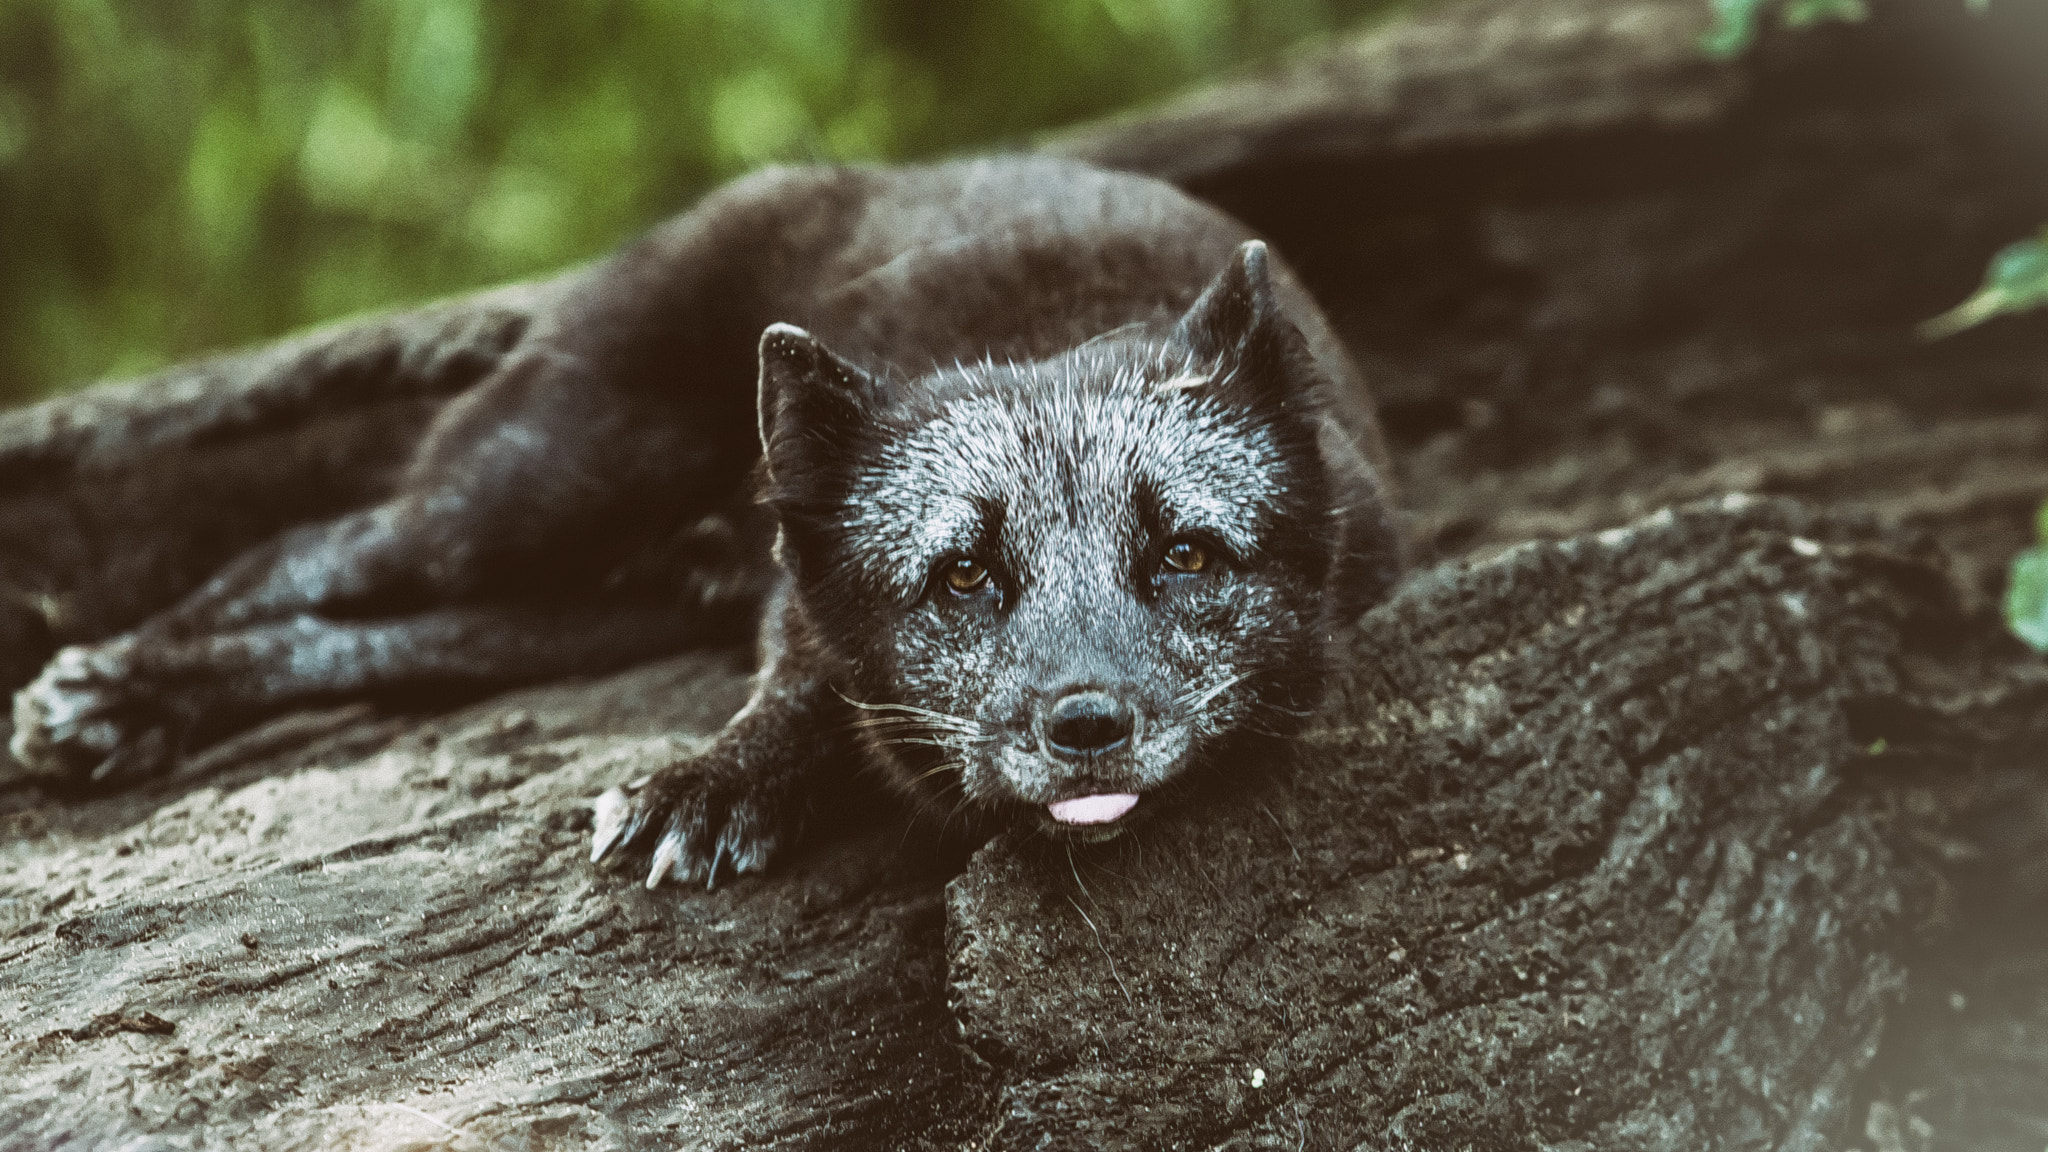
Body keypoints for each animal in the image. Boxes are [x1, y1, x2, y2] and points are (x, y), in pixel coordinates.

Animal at [8, 156, 1403, 887]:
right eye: (960, 577)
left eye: (1185, 555)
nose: (1086, 728)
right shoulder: (798, 614)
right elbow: (805, 688)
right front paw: (715, 782)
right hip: (525, 497)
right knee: (309, 550)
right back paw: (110, 688)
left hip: (572, 606)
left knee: (372, 636)